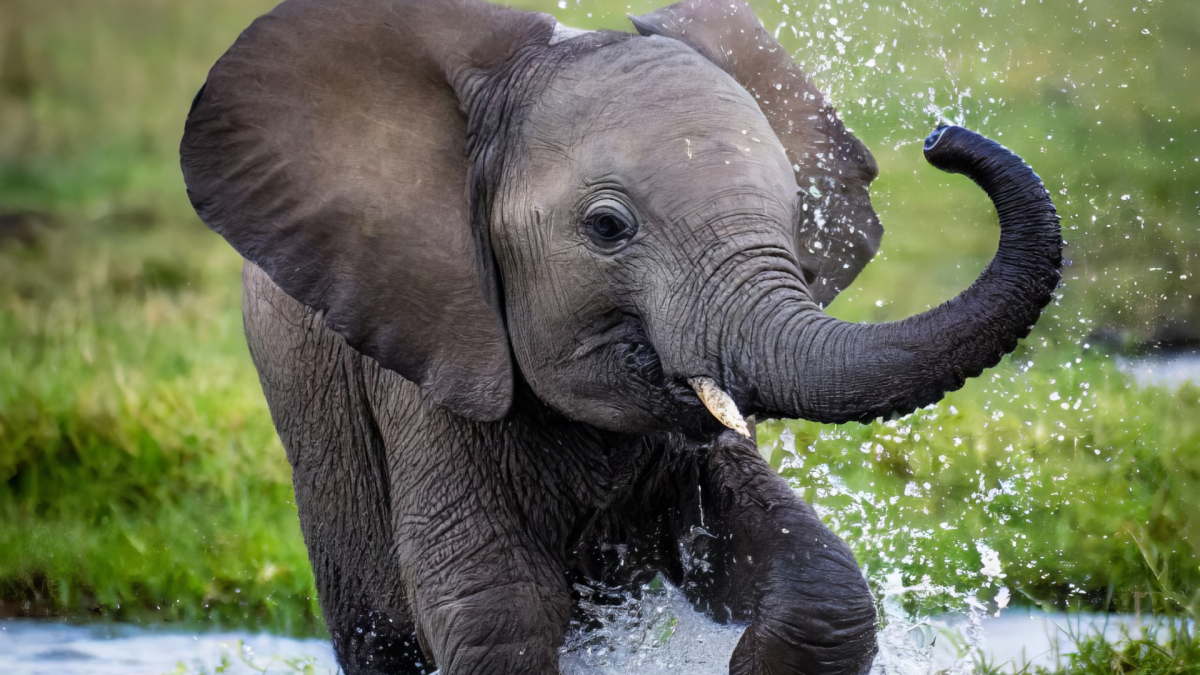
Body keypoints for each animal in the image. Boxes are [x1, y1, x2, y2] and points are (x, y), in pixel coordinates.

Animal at [177, 0, 1060, 667]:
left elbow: (817, 584)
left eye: (795, 215)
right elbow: (500, 610)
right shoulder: (429, 348)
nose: (942, 138)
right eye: (607, 228)